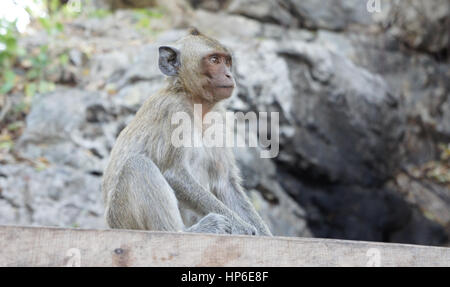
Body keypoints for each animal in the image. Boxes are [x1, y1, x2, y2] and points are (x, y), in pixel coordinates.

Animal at [101, 28, 270, 237]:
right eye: (214, 60)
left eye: (227, 61)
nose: (229, 75)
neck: (194, 101)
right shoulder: (172, 111)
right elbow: (174, 174)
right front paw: (242, 226)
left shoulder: (219, 120)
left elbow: (225, 183)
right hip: (121, 217)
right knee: (137, 165)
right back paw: (187, 230)